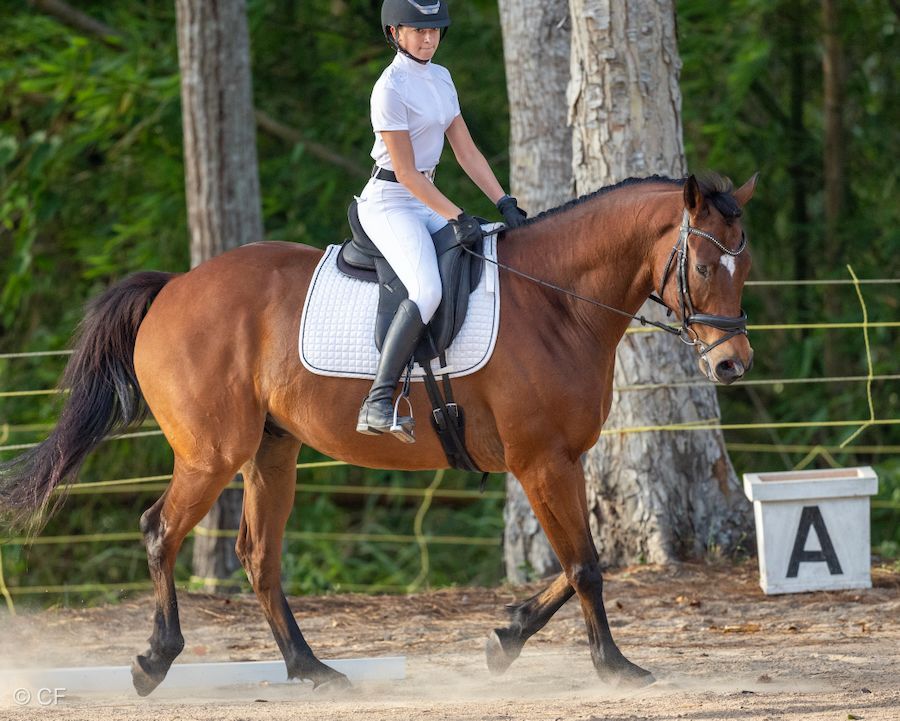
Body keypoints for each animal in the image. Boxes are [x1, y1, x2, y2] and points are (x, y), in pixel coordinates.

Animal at [0, 171, 757, 694]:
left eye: (743, 267)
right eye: (699, 266)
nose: (731, 364)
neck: (555, 299)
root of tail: (174, 286)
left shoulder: (557, 462)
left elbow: (577, 567)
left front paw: (504, 636)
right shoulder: (543, 461)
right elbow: (586, 567)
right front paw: (613, 664)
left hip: (272, 450)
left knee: (258, 555)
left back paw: (310, 668)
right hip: (213, 453)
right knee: (161, 530)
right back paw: (156, 660)